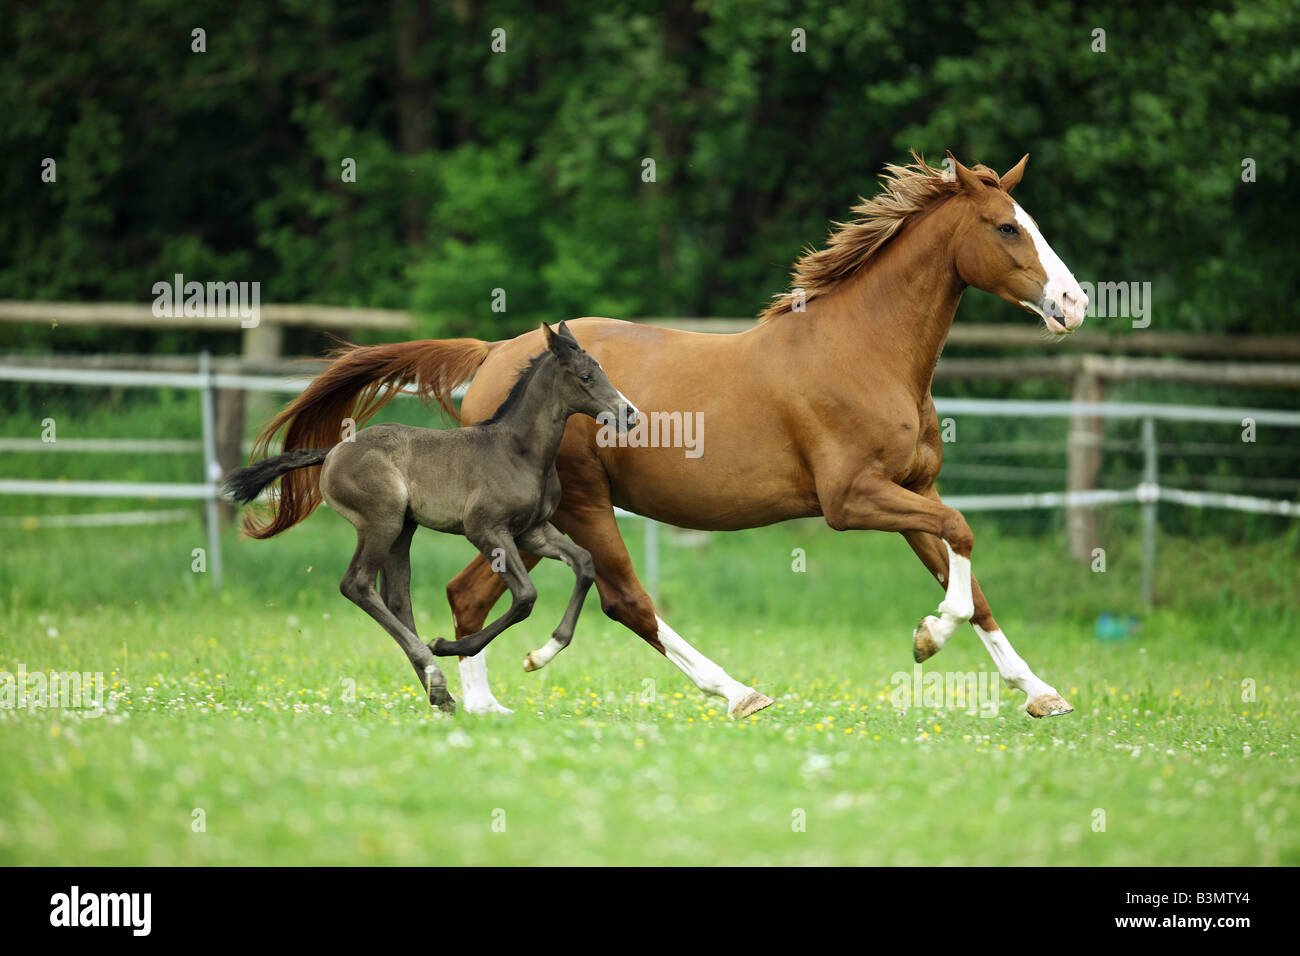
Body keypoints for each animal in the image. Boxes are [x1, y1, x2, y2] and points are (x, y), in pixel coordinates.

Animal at [223, 321, 640, 713]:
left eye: (601, 370)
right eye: (586, 376)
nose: (630, 414)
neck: (518, 452)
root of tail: (333, 451)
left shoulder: (532, 531)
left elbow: (584, 564)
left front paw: (541, 654)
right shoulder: (485, 530)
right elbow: (525, 596)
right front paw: (446, 644)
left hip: (403, 529)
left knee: (396, 598)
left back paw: (439, 691)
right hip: (382, 521)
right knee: (357, 585)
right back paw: (435, 673)